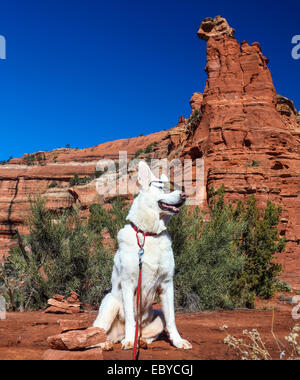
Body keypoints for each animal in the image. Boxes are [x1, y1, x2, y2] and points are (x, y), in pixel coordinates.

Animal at [93, 160, 192, 350]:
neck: (149, 235)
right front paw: (129, 341)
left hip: (158, 315)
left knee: (148, 333)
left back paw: (141, 341)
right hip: (110, 303)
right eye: (161, 187)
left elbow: (172, 319)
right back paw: (111, 342)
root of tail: (117, 336)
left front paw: (178, 341)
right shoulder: (128, 283)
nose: (185, 195)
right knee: (97, 333)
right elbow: (131, 319)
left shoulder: (167, 284)